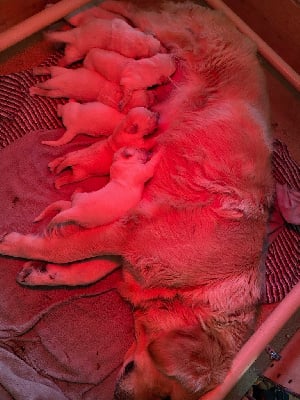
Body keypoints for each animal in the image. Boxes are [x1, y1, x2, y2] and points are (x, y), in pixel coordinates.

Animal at [0, 1, 274, 398]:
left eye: (164, 397)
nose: (118, 395)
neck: (204, 286)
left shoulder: (129, 241)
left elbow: (87, 266)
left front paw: (44, 274)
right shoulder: (131, 235)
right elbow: (69, 249)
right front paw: (18, 246)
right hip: (166, 28)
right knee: (133, 10)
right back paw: (68, 17)